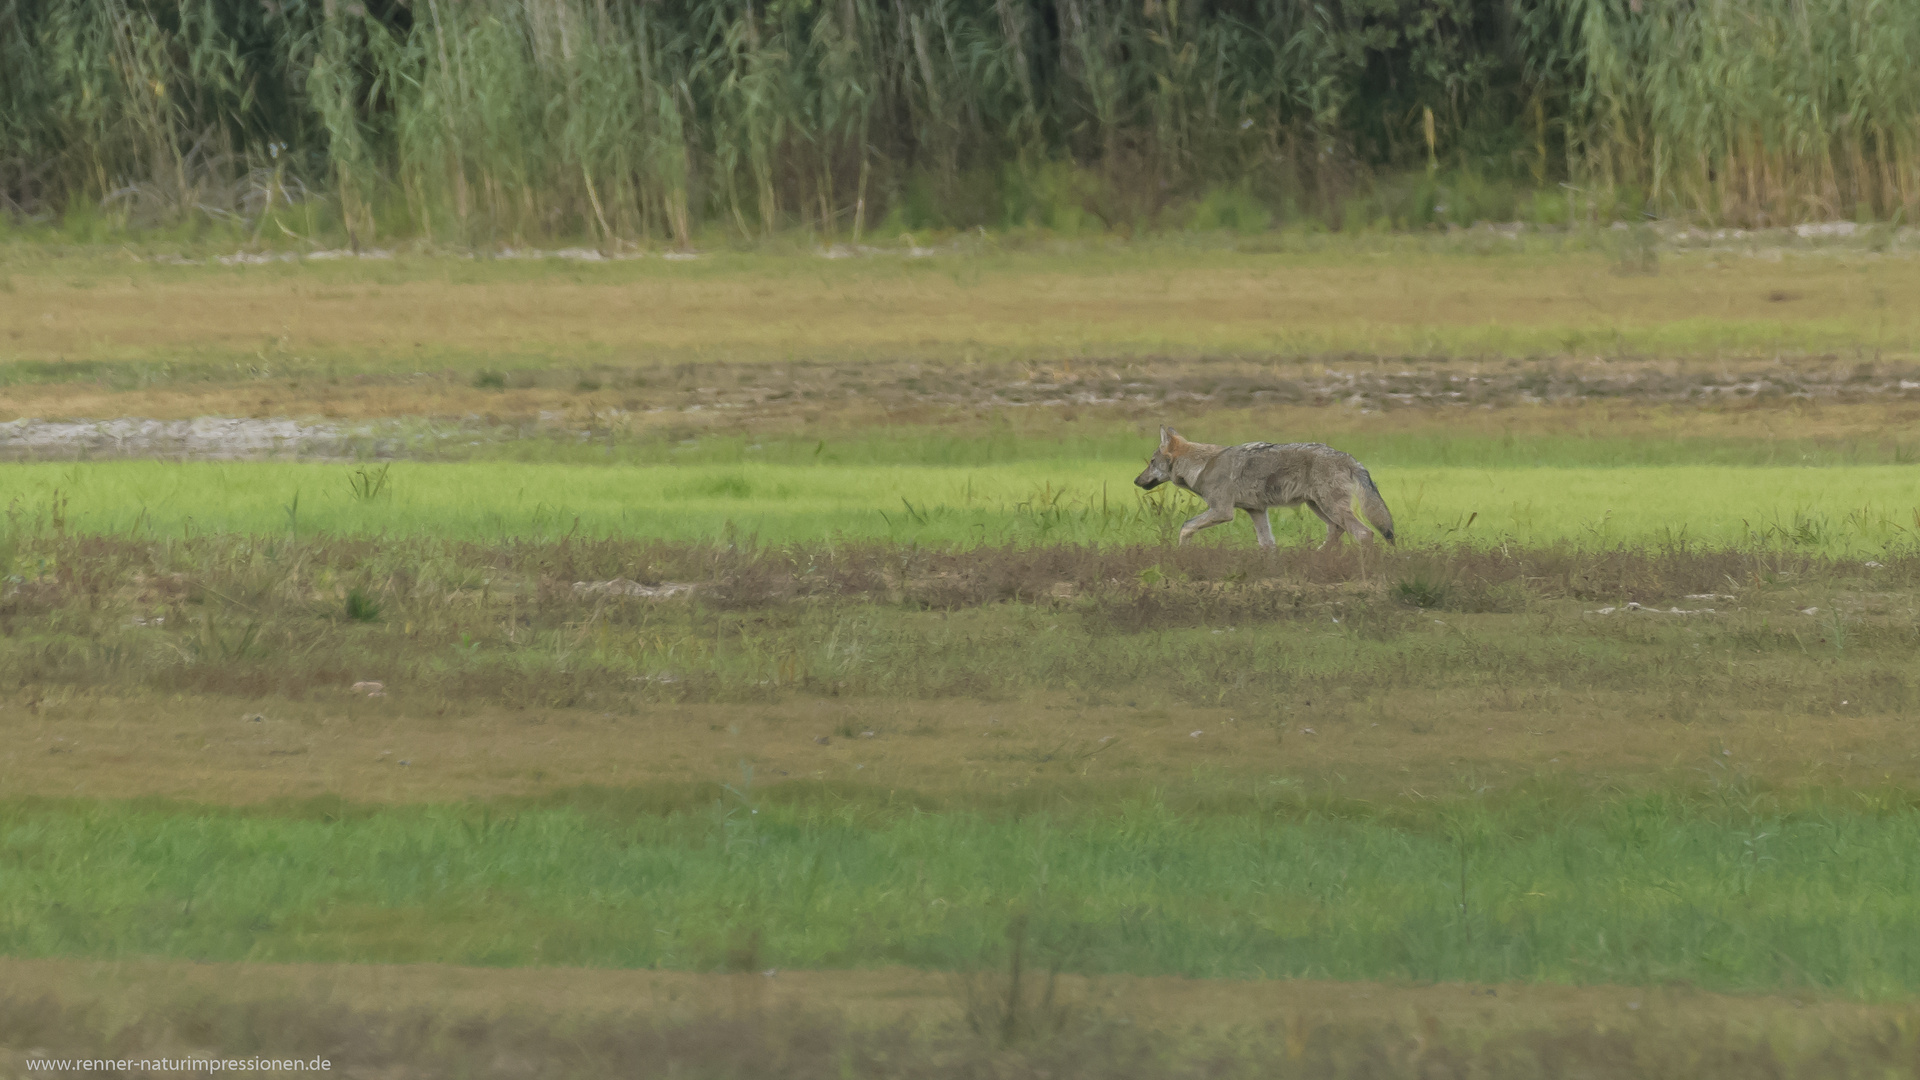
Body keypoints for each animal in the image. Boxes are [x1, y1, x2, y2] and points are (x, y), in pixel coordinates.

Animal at [1136, 424, 1397, 545]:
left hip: (1330, 508)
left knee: (1364, 533)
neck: (1202, 465)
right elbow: (1267, 544)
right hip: (1319, 508)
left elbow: (1185, 526)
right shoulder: (1257, 511)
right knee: (1337, 531)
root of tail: (1348, 457)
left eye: (1151, 462)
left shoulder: (1222, 511)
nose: (1135, 481)